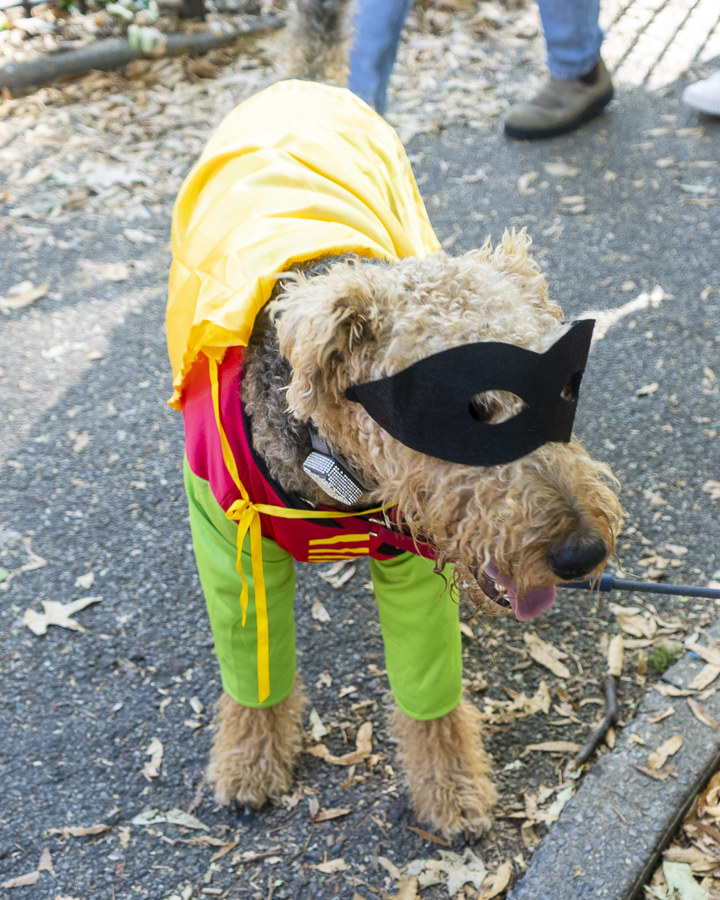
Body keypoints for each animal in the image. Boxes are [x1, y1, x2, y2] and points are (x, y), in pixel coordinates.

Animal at [166, 1, 620, 844]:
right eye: (463, 412)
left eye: (559, 391)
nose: (584, 553)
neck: (331, 470)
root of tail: (303, 82)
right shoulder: (227, 538)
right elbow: (254, 673)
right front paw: (248, 765)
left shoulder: (412, 561)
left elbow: (430, 696)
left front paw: (453, 794)